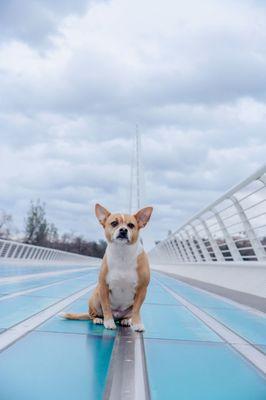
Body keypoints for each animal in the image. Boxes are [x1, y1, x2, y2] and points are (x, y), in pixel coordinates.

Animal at [62, 203, 153, 332]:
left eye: (131, 225)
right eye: (114, 223)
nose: (123, 230)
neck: (122, 253)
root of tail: (117, 315)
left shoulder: (142, 289)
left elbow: (136, 309)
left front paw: (137, 324)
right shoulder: (103, 287)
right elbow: (106, 307)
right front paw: (109, 322)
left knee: (126, 315)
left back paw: (125, 321)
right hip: (95, 298)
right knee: (93, 315)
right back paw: (99, 319)